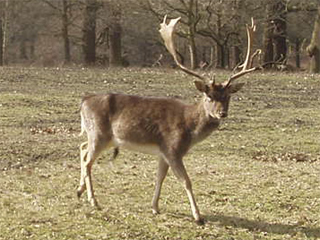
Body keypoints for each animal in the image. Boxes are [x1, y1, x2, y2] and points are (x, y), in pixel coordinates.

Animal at [77, 15, 262, 224]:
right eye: (209, 96)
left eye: (228, 97)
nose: (222, 113)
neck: (189, 128)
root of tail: (84, 101)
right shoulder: (172, 149)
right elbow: (186, 181)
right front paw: (198, 216)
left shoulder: (162, 153)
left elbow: (160, 178)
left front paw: (155, 207)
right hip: (99, 133)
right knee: (88, 160)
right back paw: (93, 201)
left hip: (104, 137)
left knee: (83, 148)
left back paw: (80, 191)